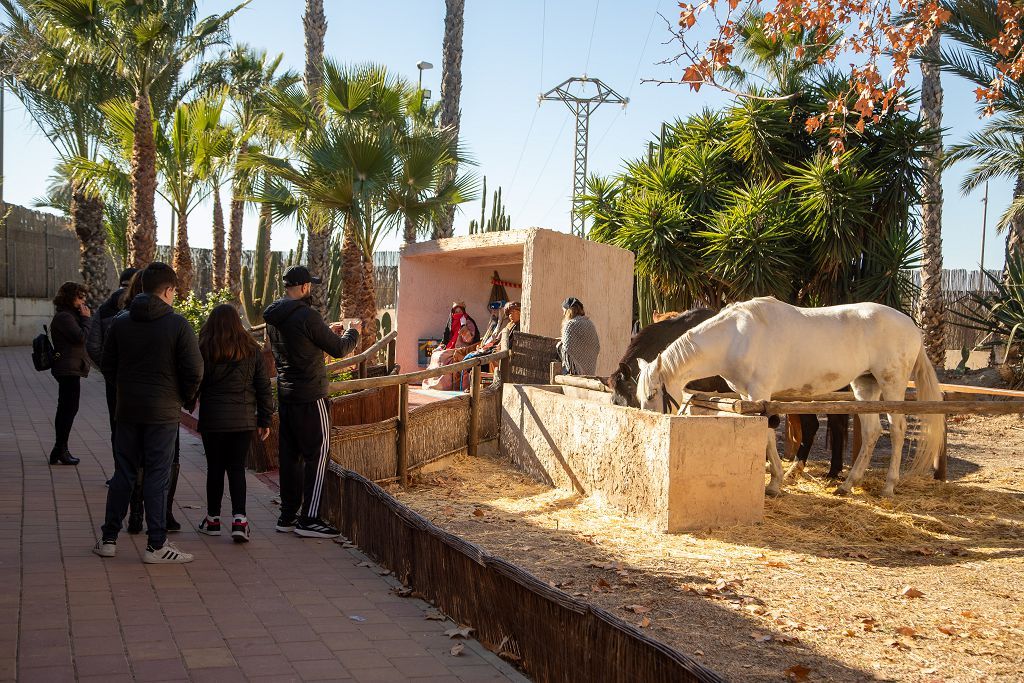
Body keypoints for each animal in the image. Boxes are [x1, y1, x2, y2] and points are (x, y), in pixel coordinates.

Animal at [634, 296, 946, 499]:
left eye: (652, 393)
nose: (650, 424)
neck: (736, 336)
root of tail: (912, 325)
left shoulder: (760, 393)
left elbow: (767, 435)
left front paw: (774, 484)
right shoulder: (748, 395)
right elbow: (768, 435)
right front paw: (775, 480)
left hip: (891, 384)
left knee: (898, 429)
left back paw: (889, 486)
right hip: (864, 386)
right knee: (872, 432)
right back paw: (847, 485)